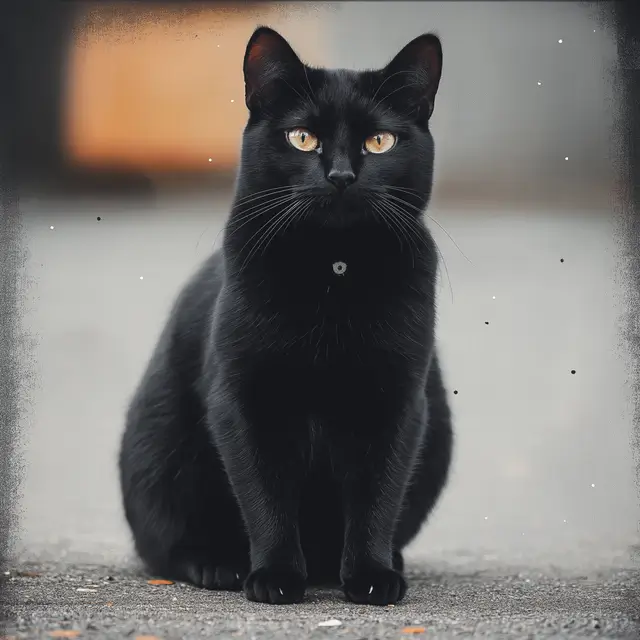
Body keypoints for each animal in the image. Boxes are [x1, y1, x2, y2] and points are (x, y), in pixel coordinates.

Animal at [119, 26, 450, 604]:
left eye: (379, 142)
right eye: (302, 138)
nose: (340, 174)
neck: (333, 269)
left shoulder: (397, 401)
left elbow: (378, 496)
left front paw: (370, 575)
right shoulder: (245, 400)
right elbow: (265, 496)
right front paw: (274, 576)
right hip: (156, 451)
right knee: (165, 543)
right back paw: (218, 565)